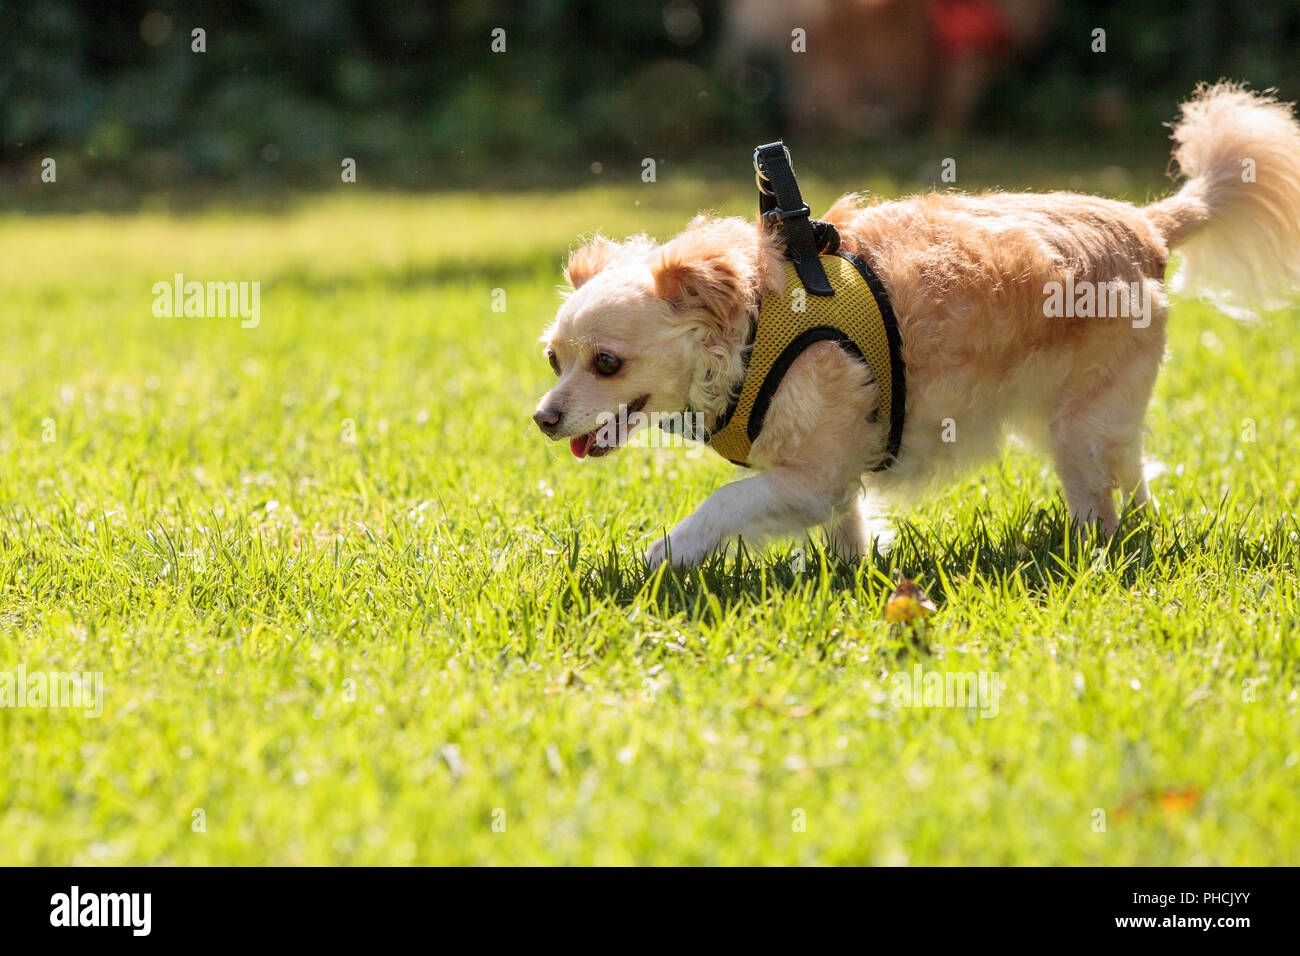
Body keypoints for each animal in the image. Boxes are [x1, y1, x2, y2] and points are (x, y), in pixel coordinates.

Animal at [530, 83, 1300, 567]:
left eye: (606, 364)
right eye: (554, 362)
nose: (542, 418)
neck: (753, 329)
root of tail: (1148, 224)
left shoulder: (807, 475)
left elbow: (723, 504)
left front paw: (663, 556)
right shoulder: (829, 473)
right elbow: (846, 527)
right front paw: (851, 572)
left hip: (1078, 427)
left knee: (1100, 504)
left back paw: (1092, 555)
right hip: (1100, 421)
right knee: (1135, 479)